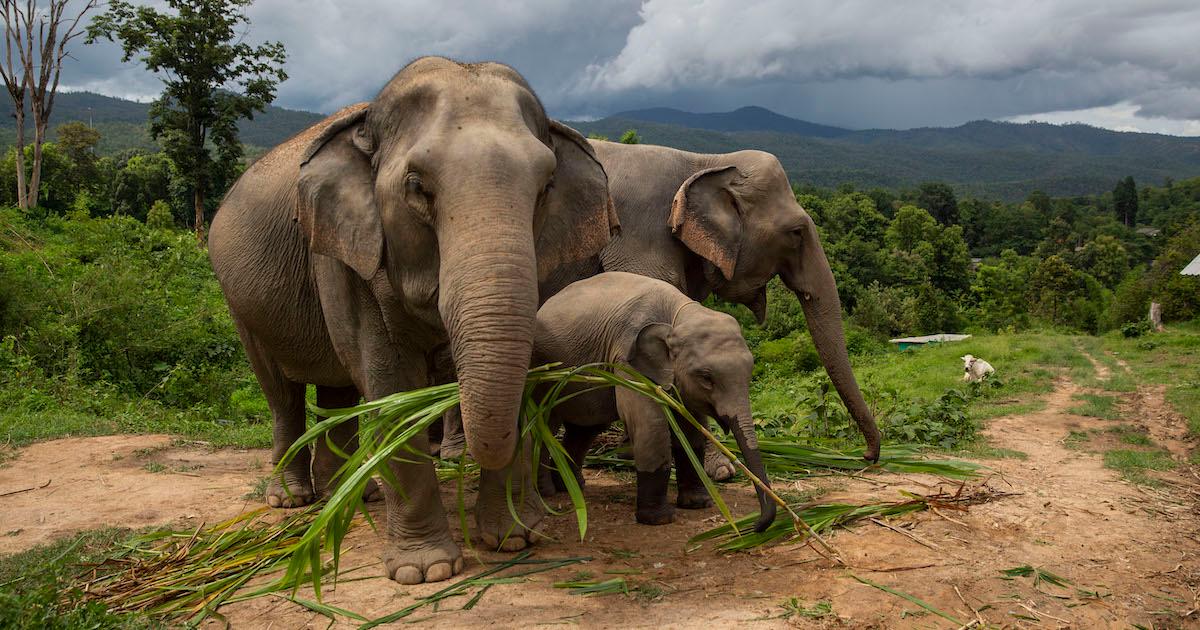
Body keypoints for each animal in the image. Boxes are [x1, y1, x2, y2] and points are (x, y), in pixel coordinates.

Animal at [208, 58, 619, 585]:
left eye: (546, 187)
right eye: (417, 187)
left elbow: (524, 372)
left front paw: (513, 539)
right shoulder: (349, 256)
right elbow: (392, 386)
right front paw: (425, 570)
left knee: (339, 394)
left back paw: (353, 495)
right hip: (238, 302)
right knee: (281, 393)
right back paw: (293, 499)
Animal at [535, 271, 777, 530]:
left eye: (750, 372)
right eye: (706, 378)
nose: (754, 526)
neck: (677, 315)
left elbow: (690, 429)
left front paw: (698, 504)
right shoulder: (627, 359)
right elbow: (650, 425)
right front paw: (660, 519)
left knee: (586, 428)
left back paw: (572, 485)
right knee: (546, 423)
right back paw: (547, 492)